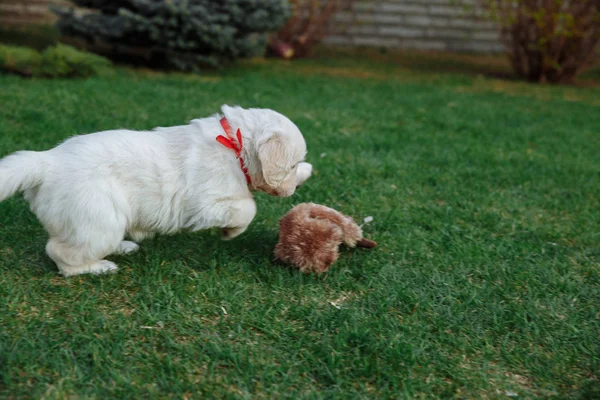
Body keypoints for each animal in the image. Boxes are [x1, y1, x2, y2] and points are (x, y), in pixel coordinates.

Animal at [0, 104, 312, 276]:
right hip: (97, 219)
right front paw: (230, 232)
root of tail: (46, 162)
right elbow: (248, 207)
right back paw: (98, 267)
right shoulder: (208, 203)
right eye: (291, 164)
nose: (298, 184)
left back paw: (123, 247)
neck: (235, 146)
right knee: (60, 253)